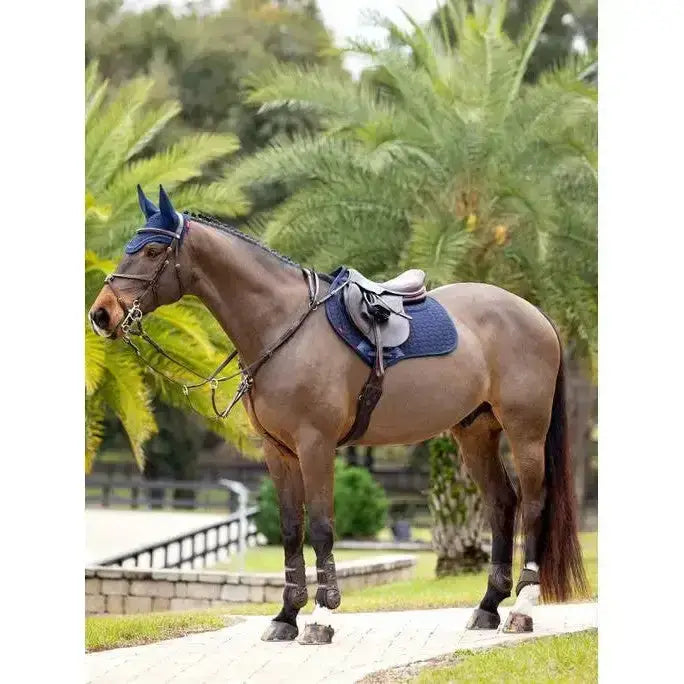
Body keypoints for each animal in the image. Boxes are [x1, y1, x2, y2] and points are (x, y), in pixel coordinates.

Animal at [89, 186, 588, 644]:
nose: (101, 314)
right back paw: (487, 607)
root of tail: (534, 313)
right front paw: (285, 617)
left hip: (525, 432)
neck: (283, 325)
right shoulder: (278, 452)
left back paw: (521, 609)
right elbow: (292, 530)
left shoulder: (316, 445)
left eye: (152, 250)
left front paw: (321, 618)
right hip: (475, 432)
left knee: (535, 504)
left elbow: (323, 528)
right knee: (503, 502)